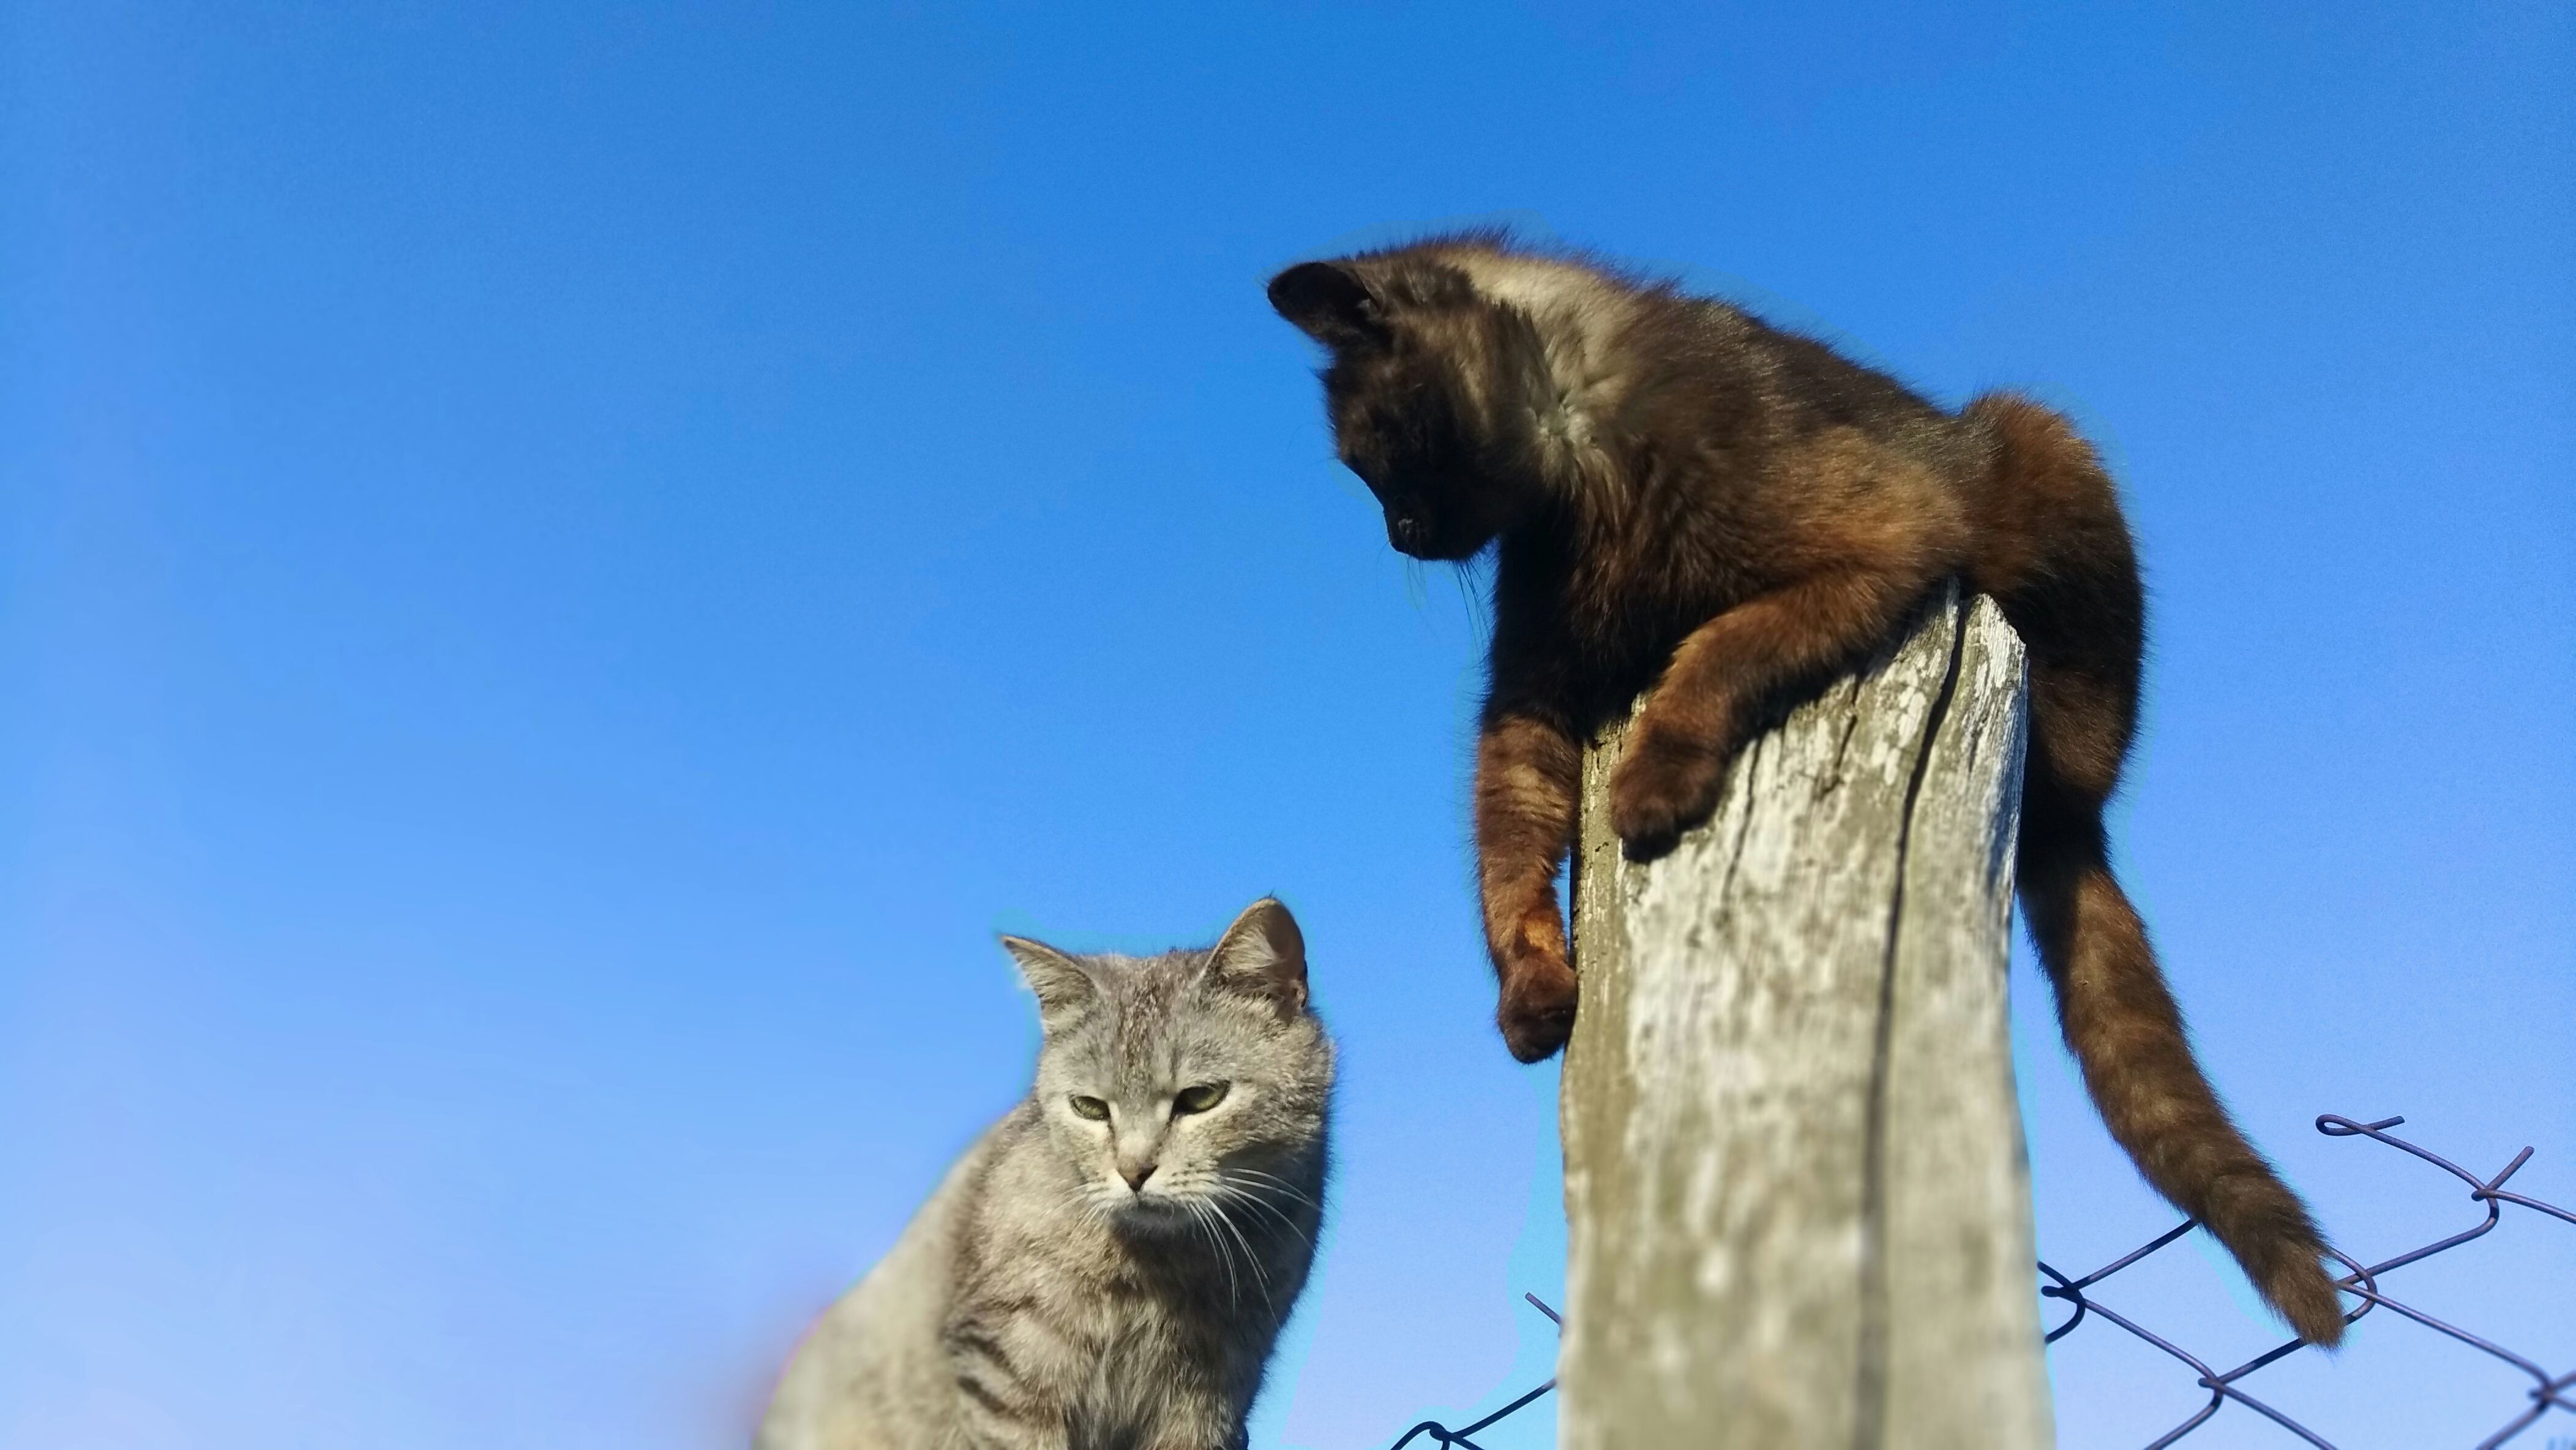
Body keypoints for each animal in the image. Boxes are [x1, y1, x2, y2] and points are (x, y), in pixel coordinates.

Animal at [757, 896, 1329, 1450]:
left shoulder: (1214, 1396)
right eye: (1089, 1107)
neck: (1163, 1268)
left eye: (1202, 1098)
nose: (1134, 1171)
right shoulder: (1009, 1371)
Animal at [1267, 229, 2359, 1349]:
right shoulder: (1531, 691)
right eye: (1364, 473)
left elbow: (1721, 642)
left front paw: (1651, 778)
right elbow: (1508, 843)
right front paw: (1531, 984)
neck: (1587, 474)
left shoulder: (1881, 538)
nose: (1399, 533)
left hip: (2036, 445)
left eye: (1380, 449)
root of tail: (2073, 828)